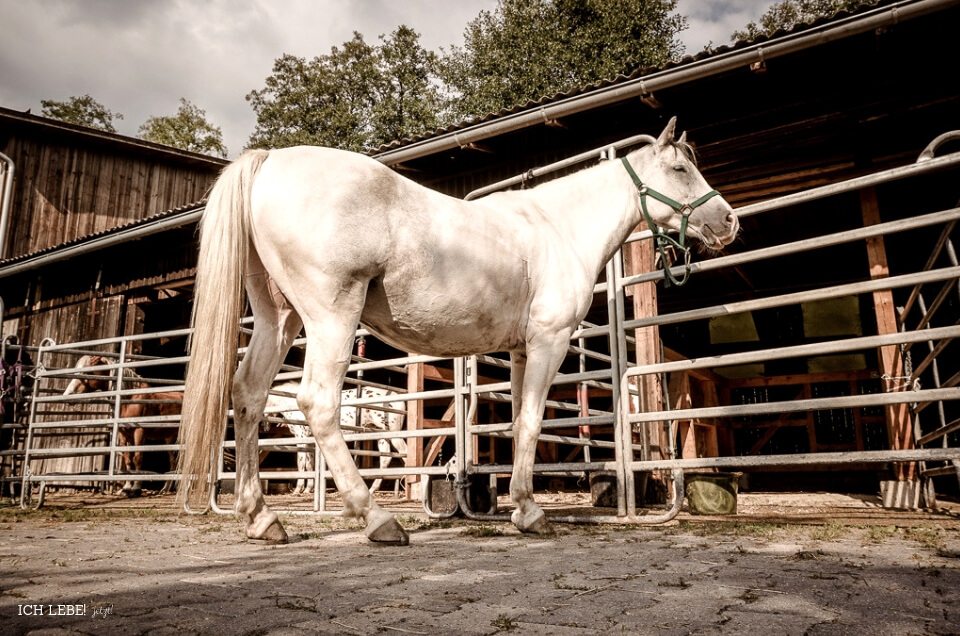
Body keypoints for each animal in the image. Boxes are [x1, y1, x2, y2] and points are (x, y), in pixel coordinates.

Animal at [65, 352, 184, 496]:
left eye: (86, 372)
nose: (67, 395)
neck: (129, 399)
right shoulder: (124, 434)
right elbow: (128, 458)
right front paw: (126, 487)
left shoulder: (139, 432)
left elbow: (138, 458)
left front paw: (136, 488)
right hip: (170, 439)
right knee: (174, 462)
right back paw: (165, 489)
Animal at [264, 380, 406, 494]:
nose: (264, 427)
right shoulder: (310, 441)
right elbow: (310, 465)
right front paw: (308, 489)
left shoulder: (301, 438)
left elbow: (301, 464)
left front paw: (298, 490)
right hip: (382, 435)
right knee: (385, 459)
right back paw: (372, 489)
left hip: (394, 434)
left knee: (404, 452)